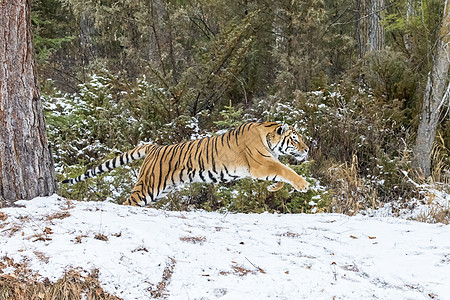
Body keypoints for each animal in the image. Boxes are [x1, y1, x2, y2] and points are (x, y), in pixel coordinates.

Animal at [62, 122, 310, 206]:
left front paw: (274, 187)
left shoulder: (266, 165)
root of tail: (154, 147)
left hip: (159, 190)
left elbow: (281, 173)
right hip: (148, 187)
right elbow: (286, 169)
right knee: (128, 202)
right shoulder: (261, 164)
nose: (307, 149)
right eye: (295, 139)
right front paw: (303, 185)